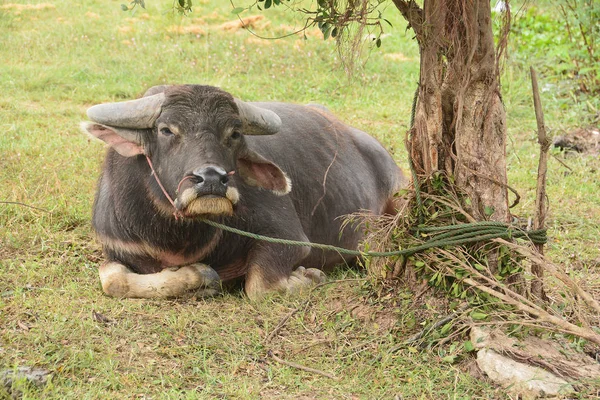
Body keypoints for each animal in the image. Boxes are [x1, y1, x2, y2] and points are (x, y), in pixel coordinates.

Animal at [82, 84, 406, 298]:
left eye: (234, 134)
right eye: (166, 130)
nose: (211, 179)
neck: (177, 238)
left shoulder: (287, 237)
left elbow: (259, 287)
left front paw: (309, 277)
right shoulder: (117, 245)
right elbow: (112, 280)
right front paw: (198, 276)